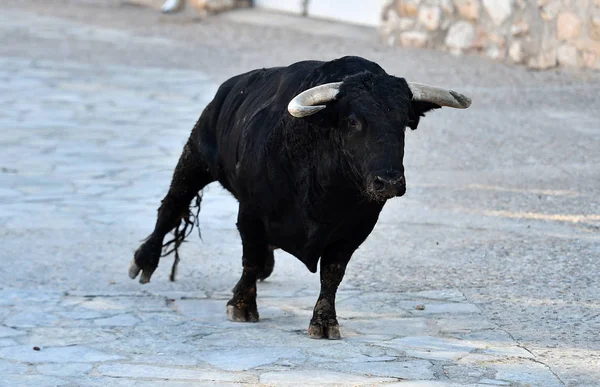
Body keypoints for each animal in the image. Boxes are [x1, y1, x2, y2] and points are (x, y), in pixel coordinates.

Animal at [127, 54, 474, 340]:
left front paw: (324, 322)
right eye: (352, 121)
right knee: (172, 204)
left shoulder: (356, 229)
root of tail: (228, 89)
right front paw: (242, 306)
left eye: (404, 121)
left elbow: (332, 273)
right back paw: (144, 261)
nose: (388, 181)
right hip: (196, 153)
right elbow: (249, 258)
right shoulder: (251, 213)